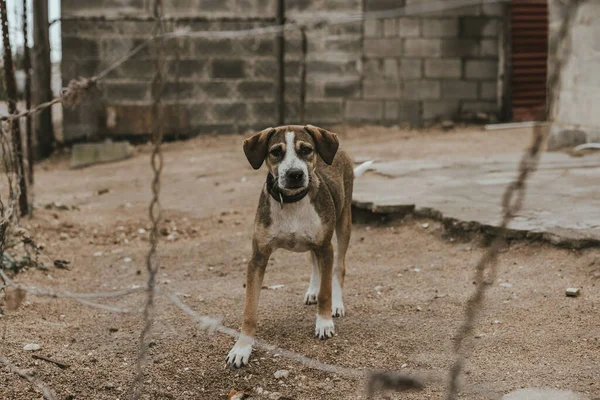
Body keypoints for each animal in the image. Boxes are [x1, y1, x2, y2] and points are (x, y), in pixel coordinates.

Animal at [227, 125, 372, 368]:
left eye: (306, 150)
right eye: (276, 152)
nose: (295, 174)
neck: (292, 202)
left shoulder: (326, 248)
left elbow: (326, 292)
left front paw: (324, 323)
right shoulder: (258, 258)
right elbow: (249, 310)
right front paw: (241, 348)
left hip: (344, 224)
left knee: (338, 268)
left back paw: (336, 304)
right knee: (314, 263)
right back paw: (312, 290)